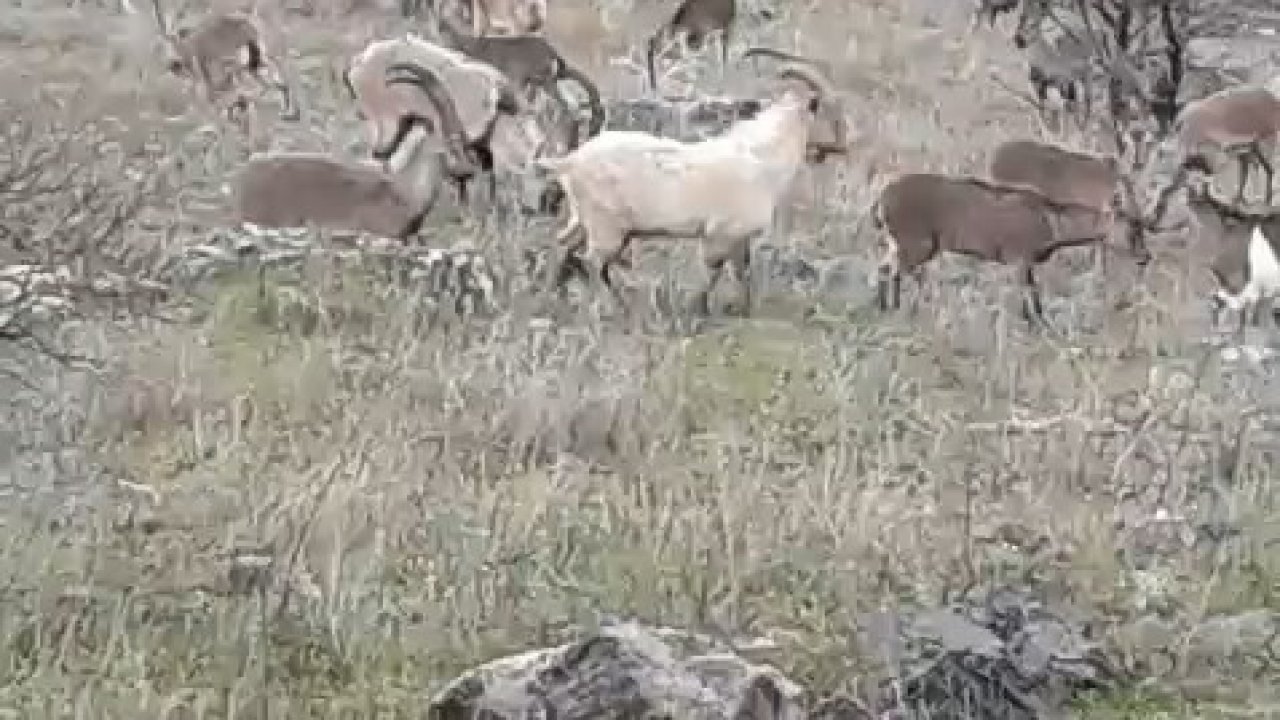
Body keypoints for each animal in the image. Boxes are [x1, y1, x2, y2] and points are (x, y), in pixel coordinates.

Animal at [532, 56, 844, 313]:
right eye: (834, 112)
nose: (843, 145)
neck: (762, 157)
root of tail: (570, 161)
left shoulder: (739, 237)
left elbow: (742, 269)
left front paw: (742, 309)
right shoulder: (719, 235)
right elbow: (714, 271)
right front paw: (699, 310)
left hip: (583, 218)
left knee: (562, 244)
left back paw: (552, 297)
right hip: (607, 227)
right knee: (593, 261)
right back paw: (615, 308)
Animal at [870, 172, 1152, 324]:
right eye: (1133, 227)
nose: (1145, 257)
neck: (1050, 219)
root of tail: (883, 198)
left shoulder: (1025, 264)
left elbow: (1033, 294)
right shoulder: (1020, 260)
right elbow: (1029, 295)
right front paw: (1033, 324)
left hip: (900, 244)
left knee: (885, 268)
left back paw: (886, 308)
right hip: (919, 245)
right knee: (903, 273)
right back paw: (906, 310)